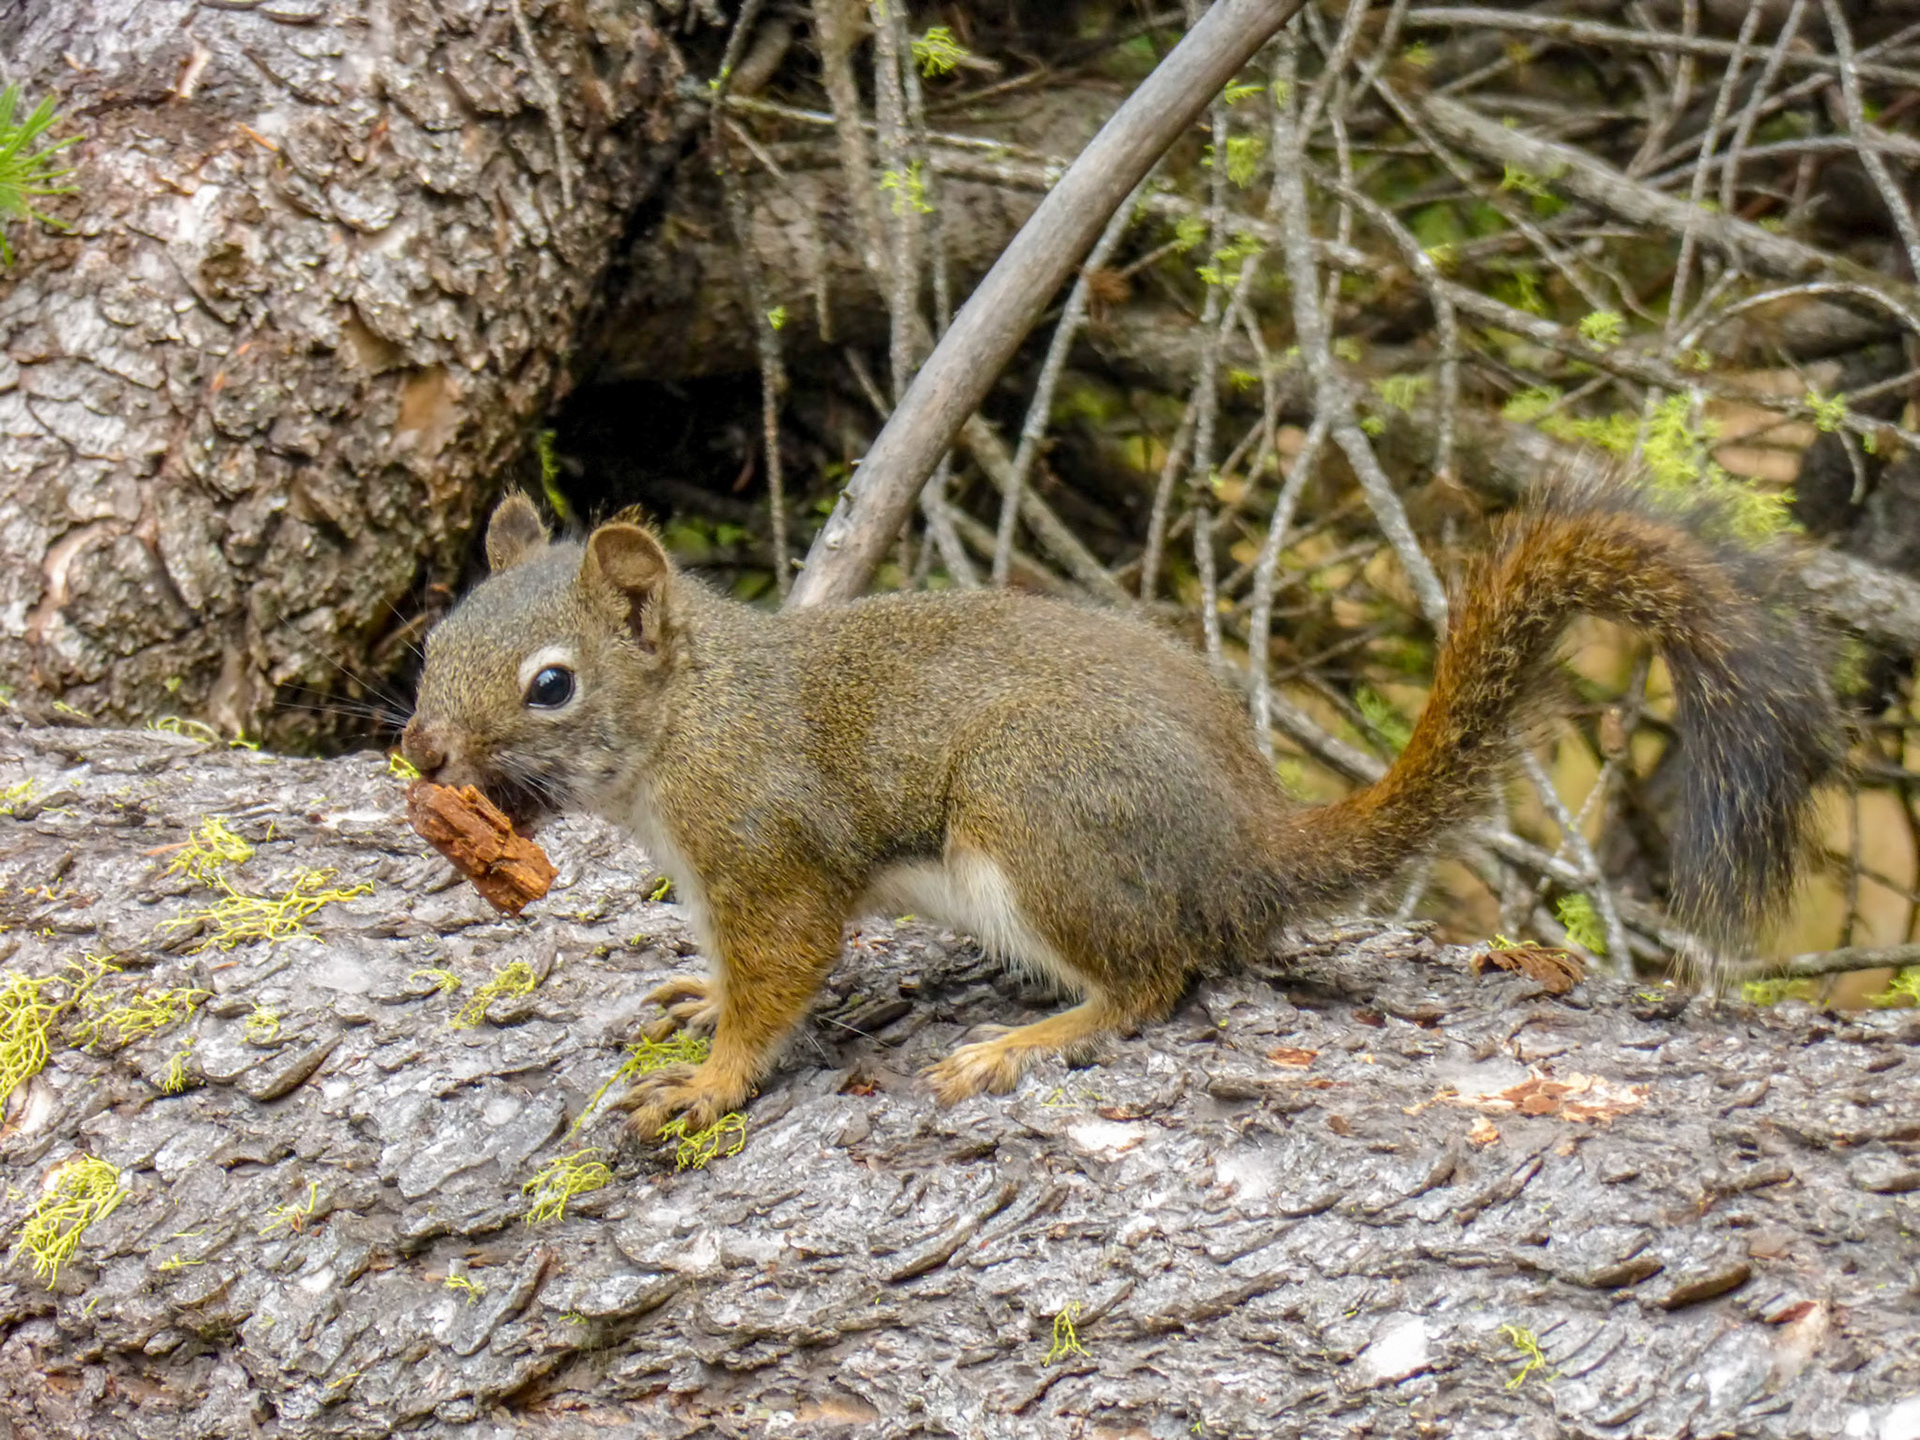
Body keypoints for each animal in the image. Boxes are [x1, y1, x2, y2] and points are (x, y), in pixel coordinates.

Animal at [401, 482, 1840, 1140]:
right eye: (436, 636)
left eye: (550, 684)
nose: (420, 751)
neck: (687, 726)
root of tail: (1247, 847)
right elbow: (723, 970)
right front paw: (690, 1004)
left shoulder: (770, 851)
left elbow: (781, 976)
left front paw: (706, 1084)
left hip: (1039, 819)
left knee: (1154, 979)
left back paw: (1023, 1043)